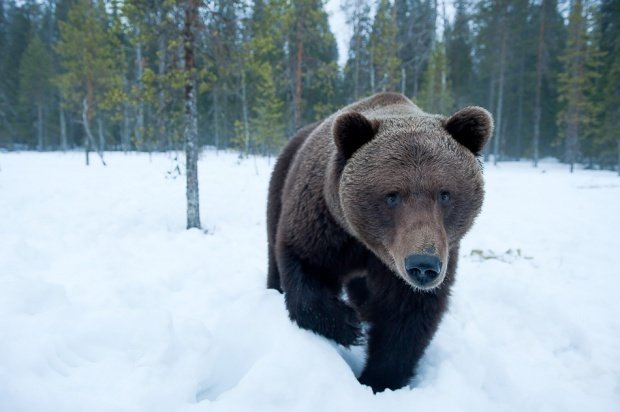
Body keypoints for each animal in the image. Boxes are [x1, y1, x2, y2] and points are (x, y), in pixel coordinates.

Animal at [266, 92, 494, 392]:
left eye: (445, 194)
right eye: (392, 195)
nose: (423, 264)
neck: (367, 244)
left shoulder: (432, 255)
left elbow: (406, 317)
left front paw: (379, 379)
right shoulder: (325, 226)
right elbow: (305, 265)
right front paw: (347, 326)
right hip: (280, 182)